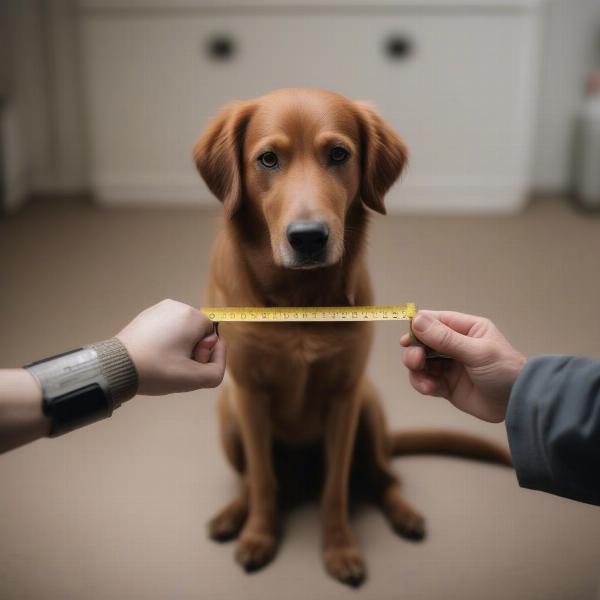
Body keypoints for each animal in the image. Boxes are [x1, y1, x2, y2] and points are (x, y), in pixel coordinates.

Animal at [193, 89, 510, 584]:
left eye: (339, 154)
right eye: (268, 159)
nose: (308, 238)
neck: (300, 300)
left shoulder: (344, 396)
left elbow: (337, 487)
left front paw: (340, 546)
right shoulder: (250, 393)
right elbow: (263, 480)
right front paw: (259, 535)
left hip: (369, 406)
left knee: (383, 477)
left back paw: (404, 513)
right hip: (229, 415)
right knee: (256, 480)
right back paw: (233, 514)